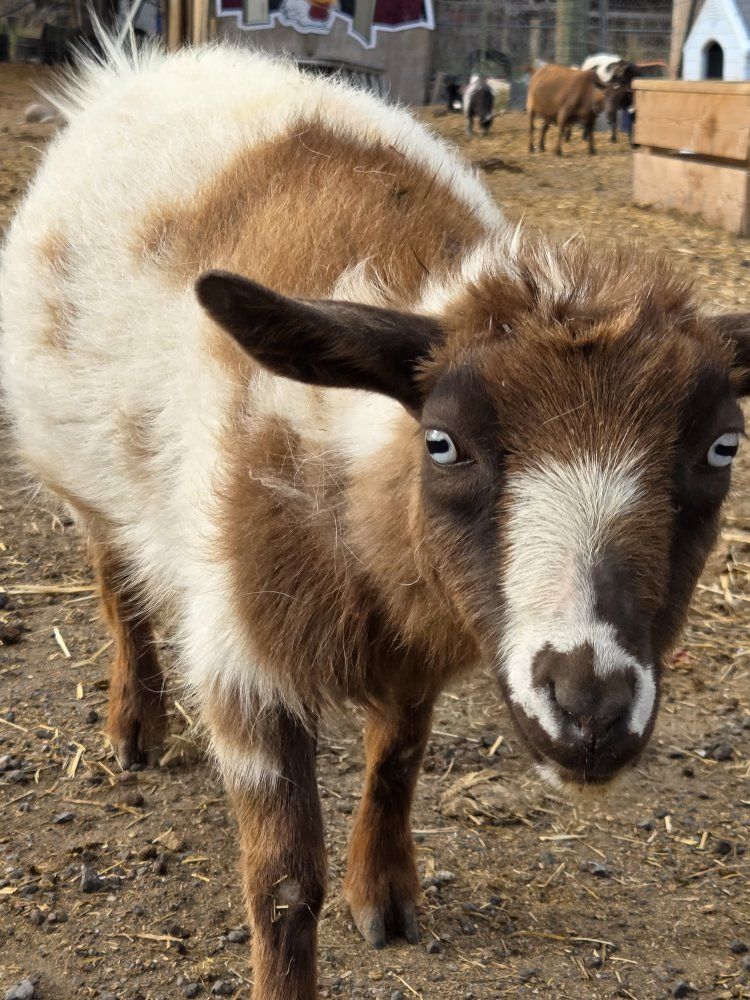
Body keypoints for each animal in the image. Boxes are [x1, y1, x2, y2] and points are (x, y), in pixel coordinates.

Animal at [2, 40, 750, 1000]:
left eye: (723, 448)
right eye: (443, 442)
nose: (588, 708)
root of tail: (156, 61)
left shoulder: (421, 640)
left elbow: (397, 759)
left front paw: (385, 897)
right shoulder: (245, 658)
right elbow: (285, 884)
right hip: (83, 474)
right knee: (116, 586)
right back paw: (136, 722)